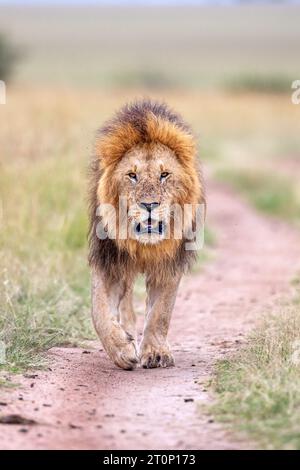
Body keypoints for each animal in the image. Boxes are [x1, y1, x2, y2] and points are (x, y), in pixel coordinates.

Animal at [88, 100, 205, 370]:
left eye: (164, 175)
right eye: (132, 175)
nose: (149, 205)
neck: (144, 246)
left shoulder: (168, 264)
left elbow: (160, 313)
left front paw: (155, 353)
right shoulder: (109, 261)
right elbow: (99, 311)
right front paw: (121, 349)